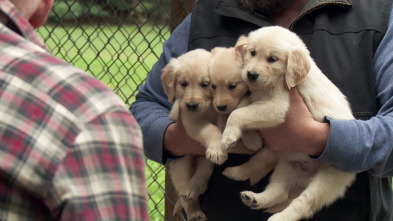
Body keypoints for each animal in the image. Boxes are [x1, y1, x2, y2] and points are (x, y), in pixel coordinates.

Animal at [220, 27, 356, 221]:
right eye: (252, 53)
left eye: (272, 59)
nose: (251, 75)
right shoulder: (256, 98)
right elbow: (241, 108)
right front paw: (250, 138)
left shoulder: (278, 107)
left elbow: (237, 113)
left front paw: (228, 137)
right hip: (287, 166)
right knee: (278, 190)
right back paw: (248, 190)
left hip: (327, 181)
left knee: (302, 204)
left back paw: (278, 217)